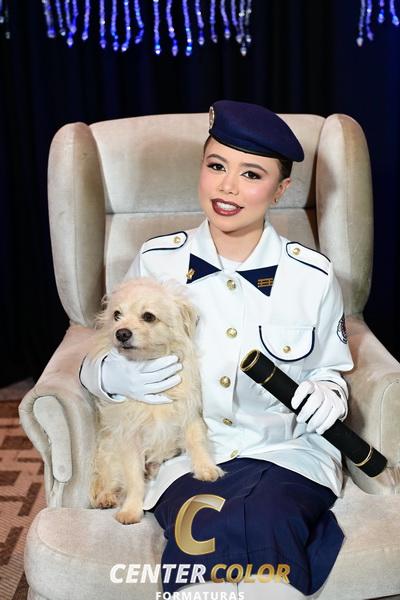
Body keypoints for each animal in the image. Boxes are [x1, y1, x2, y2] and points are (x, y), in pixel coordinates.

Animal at [88, 277, 224, 525]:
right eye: (116, 315)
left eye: (148, 316)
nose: (121, 333)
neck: (147, 362)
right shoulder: (129, 438)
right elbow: (133, 478)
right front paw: (131, 510)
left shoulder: (189, 415)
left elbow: (196, 441)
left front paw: (205, 468)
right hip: (109, 453)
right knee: (108, 477)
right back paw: (106, 497)